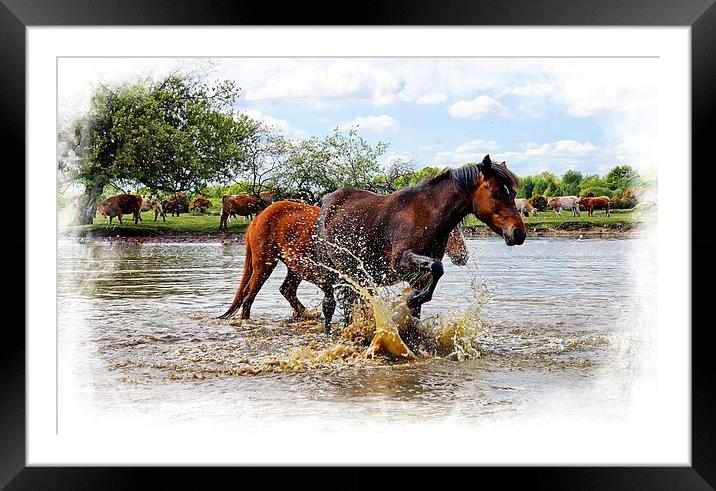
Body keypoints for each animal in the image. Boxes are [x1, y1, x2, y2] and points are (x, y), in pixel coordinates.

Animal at [217, 200, 470, 322]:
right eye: (452, 231)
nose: (463, 256)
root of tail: (258, 218)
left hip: (294, 267)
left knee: (286, 289)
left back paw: (307, 314)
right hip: (264, 263)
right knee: (249, 296)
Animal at [318, 155, 524, 330]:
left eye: (513, 194)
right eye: (496, 193)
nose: (519, 232)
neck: (427, 216)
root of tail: (327, 199)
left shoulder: (418, 276)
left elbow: (424, 296)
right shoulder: (400, 261)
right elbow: (437, 267)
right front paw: (413, 300)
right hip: (335, 273)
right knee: (332, 305)